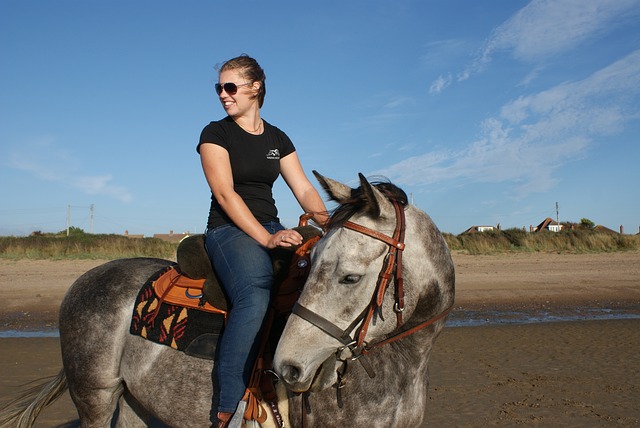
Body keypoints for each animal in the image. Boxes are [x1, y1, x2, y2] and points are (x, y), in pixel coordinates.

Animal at [0, 172, 456, 426]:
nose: (287, 368)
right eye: (312, 266)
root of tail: (83, 280)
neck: (403, 363)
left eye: (349, 277)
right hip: (94, 397)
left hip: (135, 403)